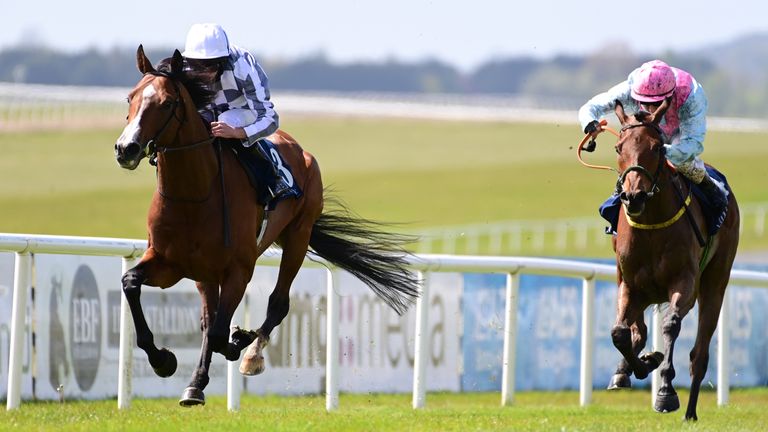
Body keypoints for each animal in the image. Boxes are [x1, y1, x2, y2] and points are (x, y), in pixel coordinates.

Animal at [608, 99, 736, 420]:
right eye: (618, 147)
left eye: (657, 148)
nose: (633, 196)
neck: (651, 225)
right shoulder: (630, 284)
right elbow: (620, 333)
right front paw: (641, 365)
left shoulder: (684, 283)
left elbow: (670, 325)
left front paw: (665, 392)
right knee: (637, 331)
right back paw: (626, 368)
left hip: (715, 283)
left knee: (699, 355)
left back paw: (690, 412)